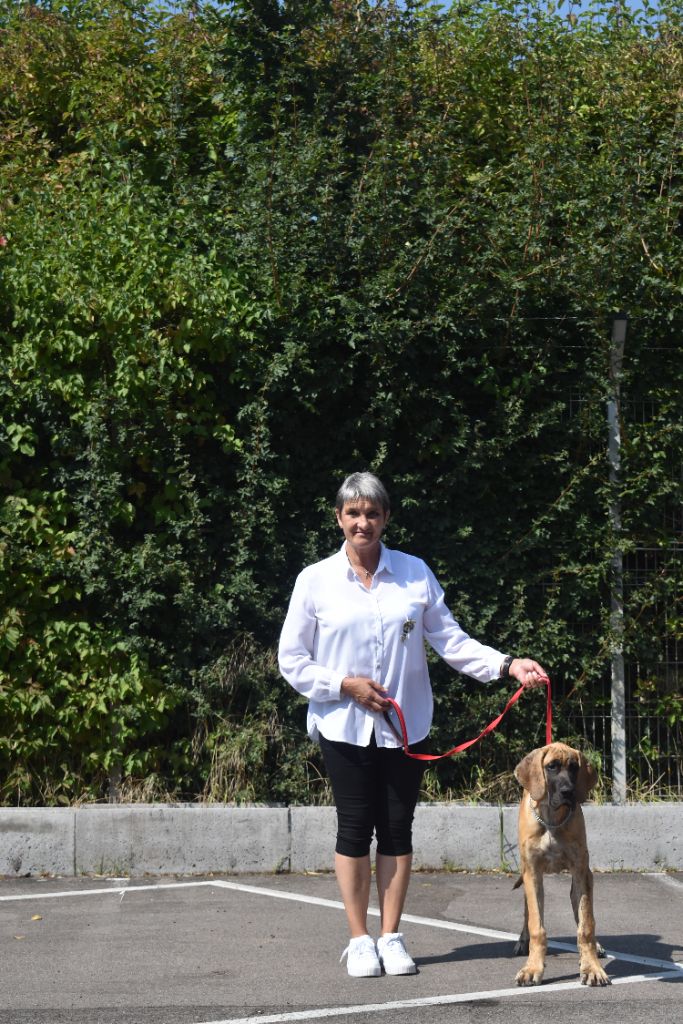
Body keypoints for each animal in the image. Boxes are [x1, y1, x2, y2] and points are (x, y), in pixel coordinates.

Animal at [512, 742, 610, 987]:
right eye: (552, 766)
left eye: (574, 767)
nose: (568, 792)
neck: (552, 820)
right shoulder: (533, 873)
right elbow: (536, 926)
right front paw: (532, 967)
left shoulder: (580, 871)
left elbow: (586, 925)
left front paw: (592, 967)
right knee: (528, 912)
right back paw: (522, 941)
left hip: (583, 878)